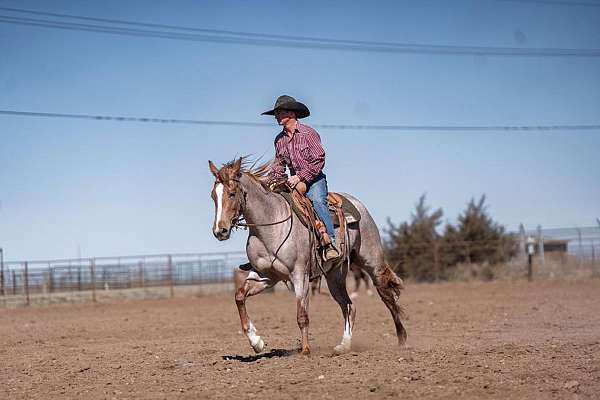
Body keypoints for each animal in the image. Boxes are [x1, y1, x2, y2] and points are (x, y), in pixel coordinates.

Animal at [207, 158, 408, 354]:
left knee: (385, 293)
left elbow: (302, 315)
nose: (220, 231)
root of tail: (357, 204)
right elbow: (239, 296)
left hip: (371, 260)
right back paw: (344, 345)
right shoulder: (266, 276)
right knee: (349, 306)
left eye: (232, 193)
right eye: (213, 196)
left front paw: (305, 350)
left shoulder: (300, 275)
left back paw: (402, 339)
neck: (271, 226)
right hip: (335, 275)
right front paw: (256, 341)